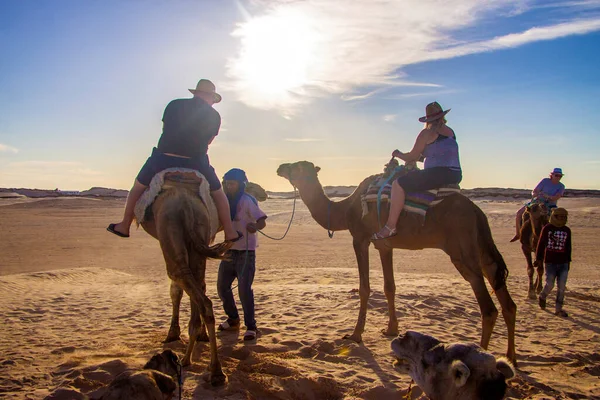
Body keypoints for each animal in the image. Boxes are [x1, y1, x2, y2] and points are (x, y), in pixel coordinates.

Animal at [138, 173, 230, 386]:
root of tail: (186, 204)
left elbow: (175, 291)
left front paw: (173, 333)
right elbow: (199, 286)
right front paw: (199, 335)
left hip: (169, 228)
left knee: (179, 276)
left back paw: (200, 363)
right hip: (198, 229)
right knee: (202, 293)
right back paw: (214, 369)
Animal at [278, 161, 516, 364]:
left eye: (297, 166)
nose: (280, 167)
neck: (344, 210)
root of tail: (477, 211)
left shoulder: (360, 238)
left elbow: (364, 288)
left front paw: (355, 335)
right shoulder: (384, 245)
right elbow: (389, 287)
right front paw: (391, 329)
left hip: (461, 249)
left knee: (488, 308)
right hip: (481, 249)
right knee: (505, 298)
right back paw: (511, 358)